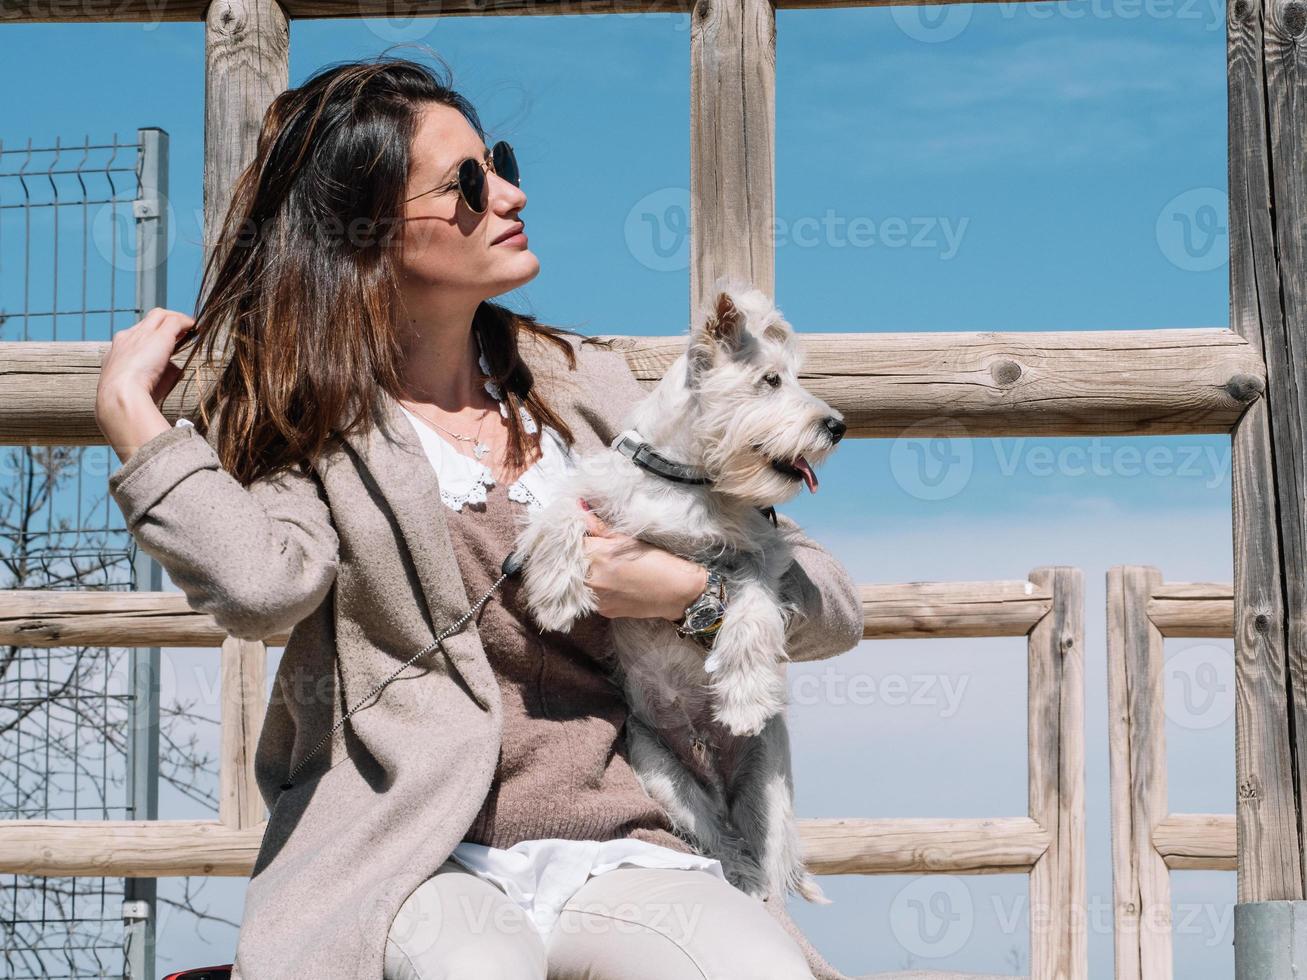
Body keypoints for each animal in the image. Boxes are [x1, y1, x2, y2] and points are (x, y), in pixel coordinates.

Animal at [512, 279, 846, 904]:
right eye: (771, 380)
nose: (837, 425)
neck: (684, 477)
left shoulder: (759, 552)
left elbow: (753, 605)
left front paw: (742, 694)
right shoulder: (595, 496)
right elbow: (561, 512)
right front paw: (556, 592)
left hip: (767, 786)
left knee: (758, 852)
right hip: (659, 770)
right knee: (717, 839)